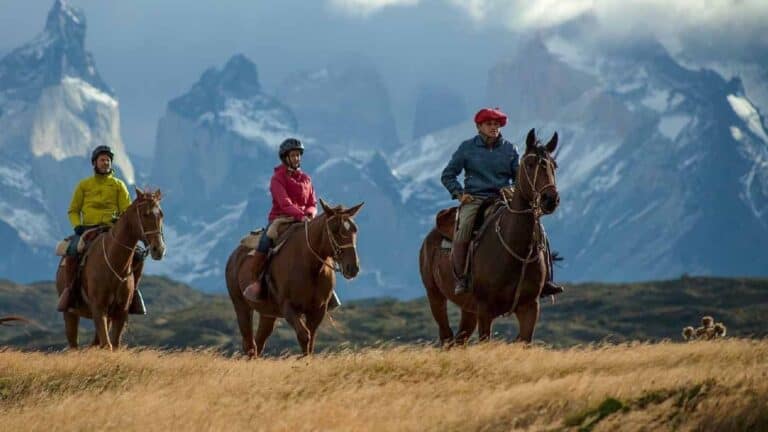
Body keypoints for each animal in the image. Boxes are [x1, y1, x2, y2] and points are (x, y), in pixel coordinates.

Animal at [55, 188, 166, 350]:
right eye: (145, 214)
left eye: (161, 214)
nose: (159, 249)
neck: (115, 265)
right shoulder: (98, 308)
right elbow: (107, 345)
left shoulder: (120, 312)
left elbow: (114, 344)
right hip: (70, 314)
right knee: (73, 343)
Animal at [225, 199, 364, 357]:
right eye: (334, 229)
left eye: (354, 229)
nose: (353, 268)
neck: (310, 266)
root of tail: (233, 257)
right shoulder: (289, 307)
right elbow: (304, 336)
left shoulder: (318, 310)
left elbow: (311, 340)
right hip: (241, 306)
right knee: (249, 343)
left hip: (267, 313)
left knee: (259, 342)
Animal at [419, 128, 560, 345]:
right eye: (529, 165)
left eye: (554, 166)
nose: (550, 199)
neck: (515, 249)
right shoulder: (485, 310)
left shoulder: (529, 308)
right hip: (435, 296)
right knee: (447, 336)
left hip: (468, 309)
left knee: (460, 339)